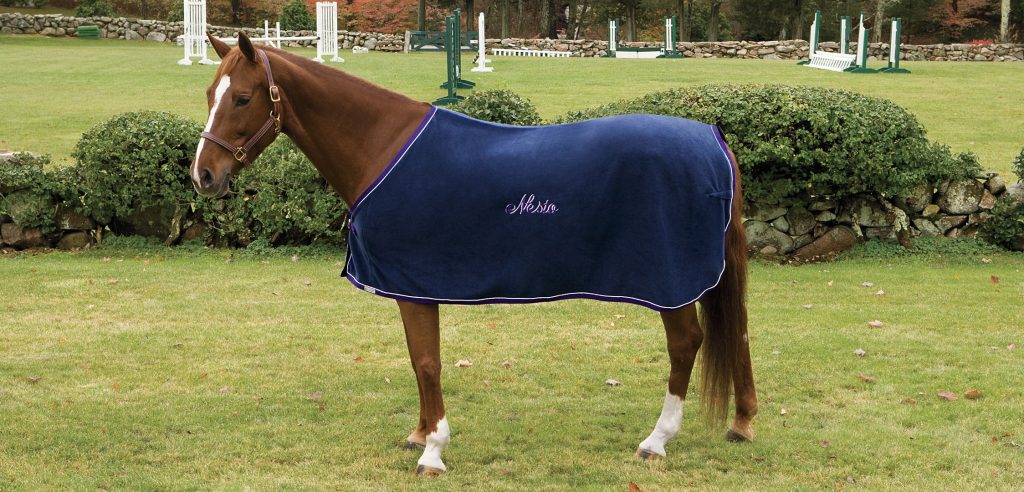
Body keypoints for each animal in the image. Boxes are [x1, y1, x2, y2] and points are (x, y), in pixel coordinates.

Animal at [190, 31, 753, 475]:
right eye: (210, 93)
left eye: (242, 99)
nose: (204, 176)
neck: (381, 147)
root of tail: (714, 140)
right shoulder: (408, 286)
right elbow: (418, 360)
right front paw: (420, 435)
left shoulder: (414, 283)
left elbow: (427, 362)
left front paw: (433, 451)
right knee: (738, 334)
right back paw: (742, 423)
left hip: (670, 283)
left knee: (686, 345)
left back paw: (656, 441)